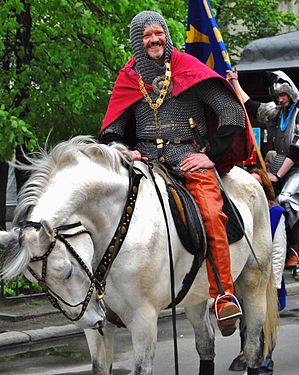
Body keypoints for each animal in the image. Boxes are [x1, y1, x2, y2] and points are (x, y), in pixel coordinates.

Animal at [0, 137, 278, 375]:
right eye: (39, 284)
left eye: (66, 271)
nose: (93, 319)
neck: (118, 227)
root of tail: (251, 180)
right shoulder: (99, 330)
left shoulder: (143, 320)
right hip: (195, 295)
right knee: (206, 343)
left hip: (254, 280)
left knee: (253, 347)